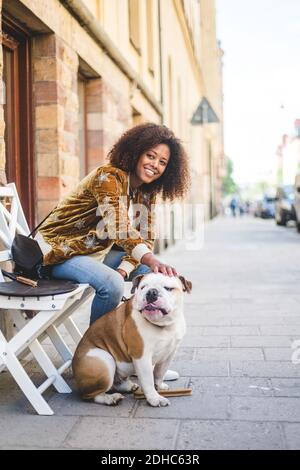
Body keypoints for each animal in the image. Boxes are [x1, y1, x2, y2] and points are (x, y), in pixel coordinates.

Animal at [72, 272, 192, 408]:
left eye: (168, 288)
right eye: (143, 287)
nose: (151, 292)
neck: (163, 325)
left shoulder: (169, 354)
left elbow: (159, 372)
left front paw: (159, 386)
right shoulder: (142, 356)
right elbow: (148, 380)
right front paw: (155, 398)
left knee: (116, 382)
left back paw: (128, 386)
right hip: (103, 359)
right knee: (91, 395)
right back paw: (110, 398)